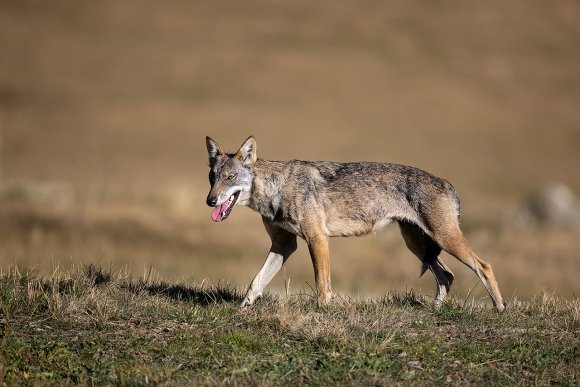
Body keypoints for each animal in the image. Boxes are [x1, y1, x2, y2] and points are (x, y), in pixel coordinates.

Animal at [206, 136, 506, 312]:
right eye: (212, 177)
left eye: (230, 178)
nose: (210, 201)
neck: (277, 188)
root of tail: (447, 184)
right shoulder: (284, 245)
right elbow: (256, 281)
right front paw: (243, 309)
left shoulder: (317, 239)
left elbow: (322, 284)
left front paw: (323, 311)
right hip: (418, 246)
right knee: (447, 275)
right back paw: (435, 310)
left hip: (444, 240)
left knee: (484, 266)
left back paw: (500, 308)